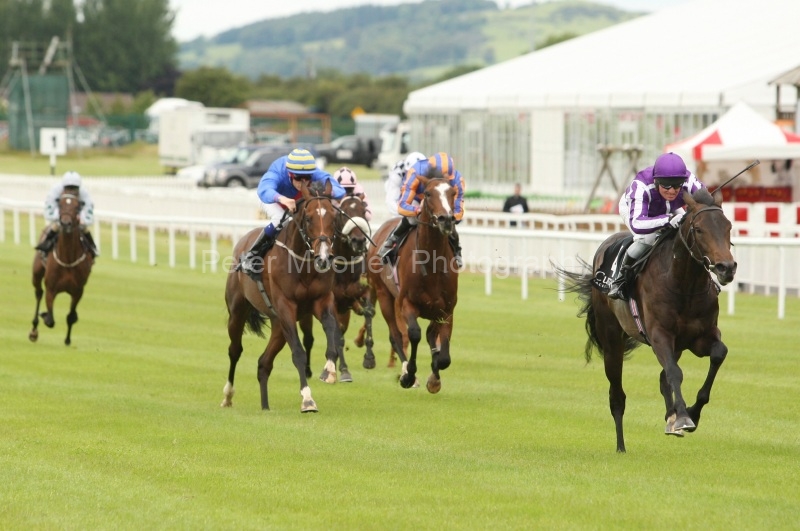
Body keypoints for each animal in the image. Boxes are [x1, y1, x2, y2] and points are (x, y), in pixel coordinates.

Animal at [29, 191, 93, 345]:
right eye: (61, 204)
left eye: (77, 207)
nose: (65, 223)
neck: (68, 259)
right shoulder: (51, 289)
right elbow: (50, 320)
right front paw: (44, 315)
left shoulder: (78, 291)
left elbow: (70, 316)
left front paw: (68, 339)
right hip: (36, 273)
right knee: (38, 293)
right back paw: (34, 330)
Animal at [221, 180, 342, 413]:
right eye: (308, 218)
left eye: (334, 217)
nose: (323, 257)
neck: (303, 265)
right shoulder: (286, 306)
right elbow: (298, 353)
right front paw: (307, 399)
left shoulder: (322, 300)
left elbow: (332, 329)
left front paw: (329, 371)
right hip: (238, 311)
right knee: (234, 350)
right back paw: (228, 396)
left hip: (278, 325)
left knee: (263, 363)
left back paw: (265, 406)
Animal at [298, 193, 376, 381]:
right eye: (342, 213)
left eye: (364, 211)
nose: (359, 241)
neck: (345, 266)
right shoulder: (332, 301)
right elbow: (337, 335)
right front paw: (344, 370)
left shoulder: (363, 291)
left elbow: (369, 314)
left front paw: (369, 358)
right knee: (309, 338)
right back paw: (309, 370)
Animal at [365, 169, 460, 392]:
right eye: (427, 193)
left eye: (453, 193)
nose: (446, 219)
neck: (432, 262)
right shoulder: (406, 302)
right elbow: (414, 334)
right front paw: (409, 375)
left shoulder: (447, 308)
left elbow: (444, 354)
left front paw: (434, 377)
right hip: (384, 295)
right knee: (396, 335)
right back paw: (405, 370)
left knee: (429, 334)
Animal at [556, 188, 736, 452]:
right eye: (699, 229)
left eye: (728, 226)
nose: (727, 267)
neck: (684, 285)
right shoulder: (660, 335)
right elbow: (674, 373)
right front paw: (684, 417)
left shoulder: (701, 336)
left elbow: (718, 354)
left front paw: (691, 412)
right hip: (612, 340)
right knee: (617, 395)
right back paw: (621, 446)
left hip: (677, 345)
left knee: (663, 378)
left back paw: (670, 417)